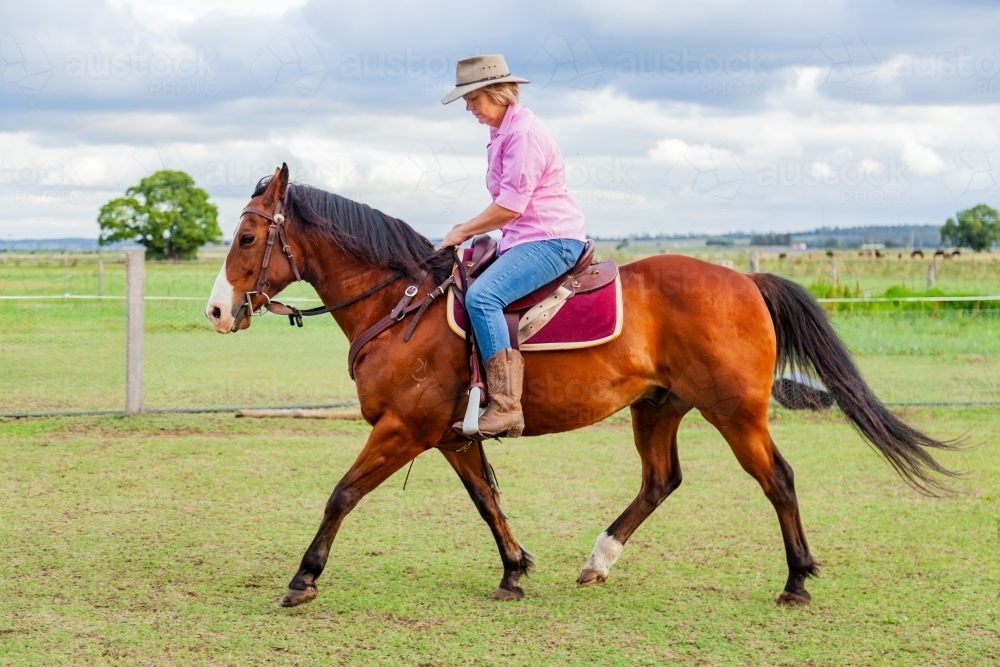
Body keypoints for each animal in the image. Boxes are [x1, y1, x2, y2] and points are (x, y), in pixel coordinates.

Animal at [203, 168, 952, 612]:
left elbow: (342, 493)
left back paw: (796, 579)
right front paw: (514, 569)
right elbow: (487, 500)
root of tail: (744, 279)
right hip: (658, 408)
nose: (216, 310)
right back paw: (599, 560)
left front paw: (304, 576)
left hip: (736, 412)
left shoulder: (403, 430)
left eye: (247, 237)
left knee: (779, 479)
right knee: (660, 481)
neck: (403, 305)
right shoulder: (449, 436)